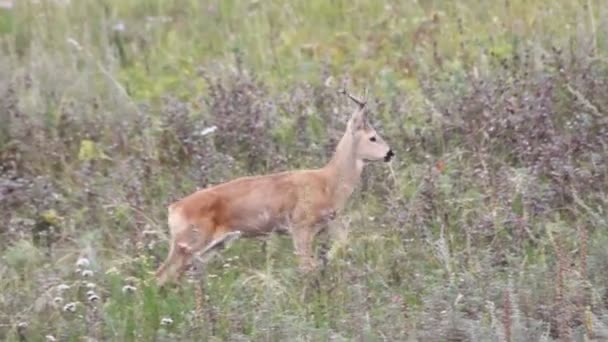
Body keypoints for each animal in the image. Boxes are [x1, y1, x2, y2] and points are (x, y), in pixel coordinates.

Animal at [156, 89, 394, 286]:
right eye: (373, 137)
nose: (390, 153)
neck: (328, 182)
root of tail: (174, 208)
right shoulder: (300, 226)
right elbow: (307, 267)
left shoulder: (329, 225)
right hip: (189, 242)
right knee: (160, 275)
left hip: (208, 246)